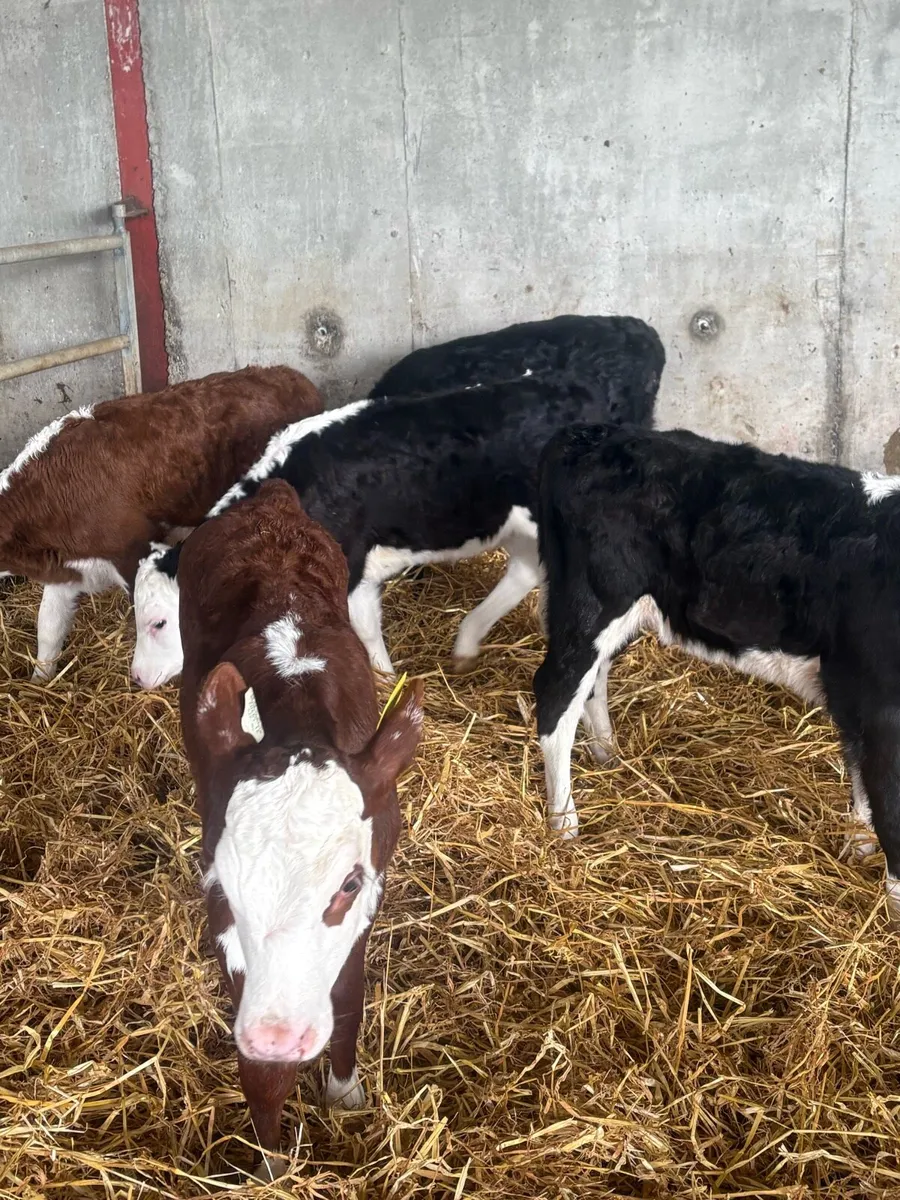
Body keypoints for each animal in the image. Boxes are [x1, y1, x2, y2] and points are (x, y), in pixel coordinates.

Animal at [178, 478, 423, 1178]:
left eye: (348, 882)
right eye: (223, 887)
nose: (280, 1035)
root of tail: (273, 502)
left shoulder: (370, 902)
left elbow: (349, 996)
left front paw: (344, 1091)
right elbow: (261, 1076)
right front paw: (271, 1165)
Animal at [533, 421, 900, 918]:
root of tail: (587, 434)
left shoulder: (855, 696)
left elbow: (862, 782)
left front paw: (856, 852)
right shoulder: (883, 709)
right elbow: (889, 805)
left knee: (593, 680)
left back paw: (608, 754)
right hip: (592, 600)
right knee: (557, 694)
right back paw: (564, 822)